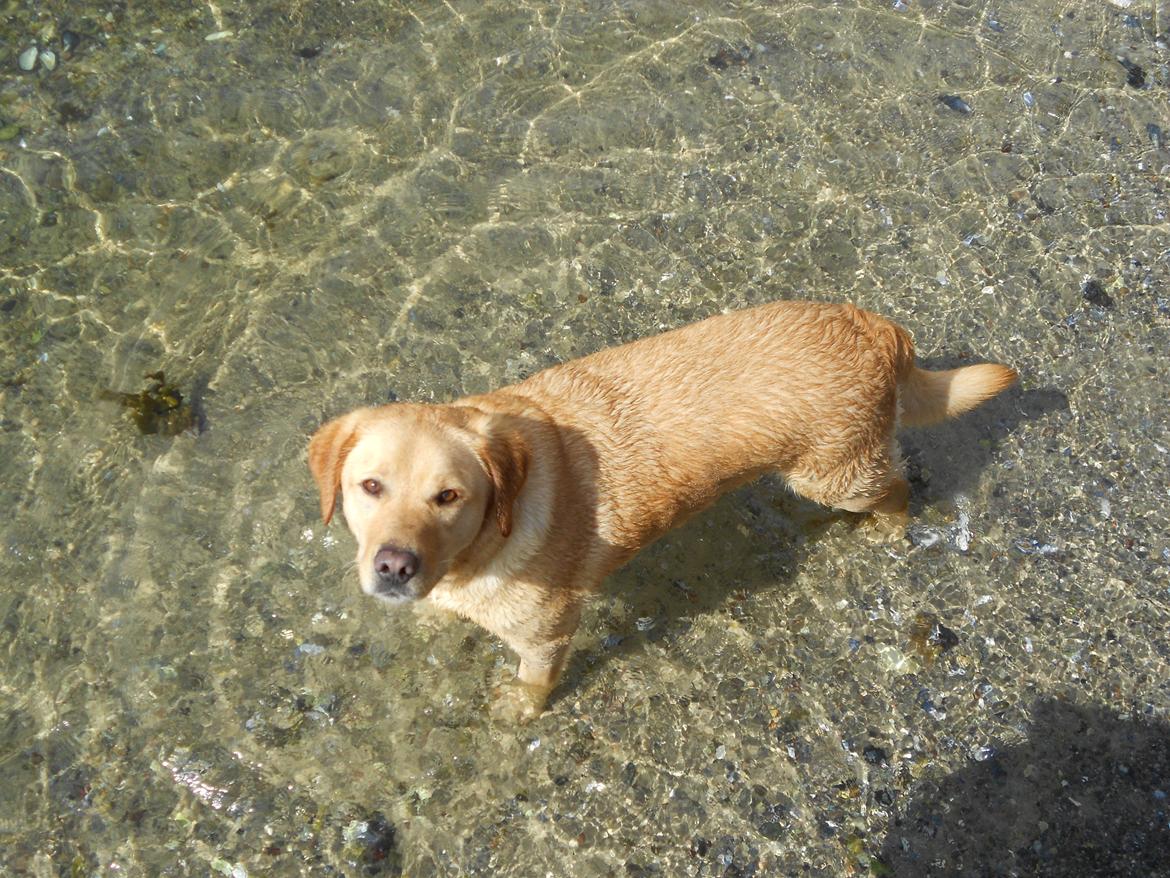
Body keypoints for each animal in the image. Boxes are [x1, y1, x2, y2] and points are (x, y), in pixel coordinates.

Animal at [308, 302, 1015, 721]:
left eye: (449, 496)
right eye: (370, 487)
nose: (395, 566)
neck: (482, 545)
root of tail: (878, 329)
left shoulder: (548, 632)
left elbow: (536, 678)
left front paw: (523, 706)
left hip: (833, 475)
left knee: (897, 486)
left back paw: (889, 530)